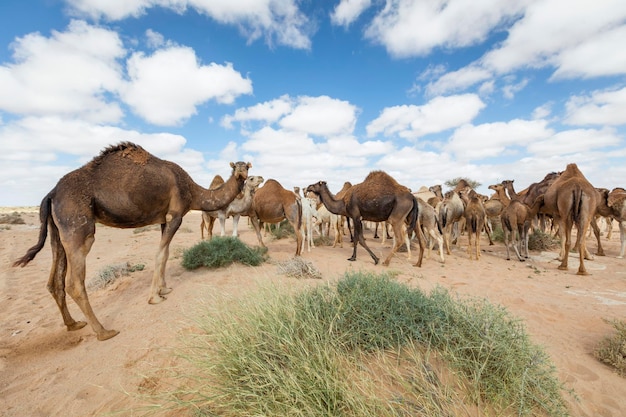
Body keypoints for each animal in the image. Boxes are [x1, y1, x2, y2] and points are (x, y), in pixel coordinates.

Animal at [12, 141, 251, 340]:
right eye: (237, 167)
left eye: (247, 168)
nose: (241, 172)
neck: (192, 191)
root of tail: (51, 193)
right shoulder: (175, 215)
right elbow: (160, 254)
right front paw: (155, 297)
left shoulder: (164, 218)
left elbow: (165, 254)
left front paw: (164, 289)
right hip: (77, 226)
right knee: (74, 282)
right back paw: (104, 332)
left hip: (57, 230)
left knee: (55, 279)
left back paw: (73, 324)